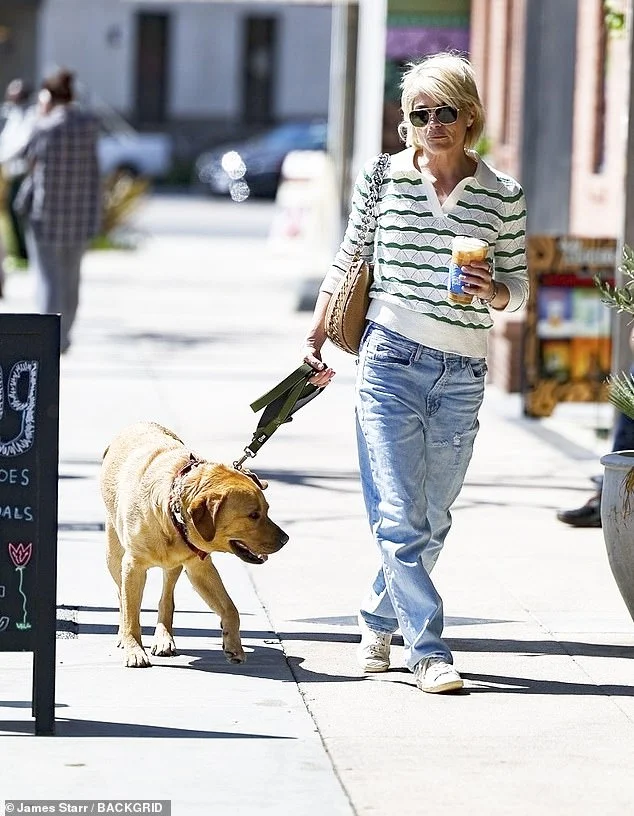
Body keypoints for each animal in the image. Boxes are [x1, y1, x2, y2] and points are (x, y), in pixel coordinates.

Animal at [100, 424, 288, 668]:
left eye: (266, 510)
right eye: (253, 515)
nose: (285, 539)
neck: (171, 511)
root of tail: (140, 423)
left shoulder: (200, 567)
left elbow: (230, 608)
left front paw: (234, 646)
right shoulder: (133, 566)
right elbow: (132, 615)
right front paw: (134, 650)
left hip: (174, 567)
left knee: (166, 599)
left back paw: (164, 638)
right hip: (113, 555)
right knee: (121, 596)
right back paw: (124, 635)